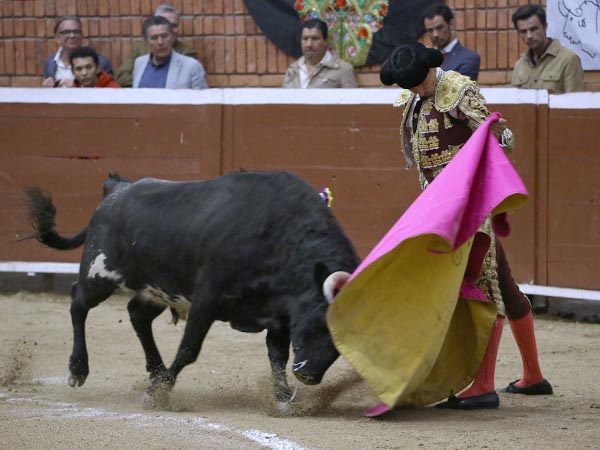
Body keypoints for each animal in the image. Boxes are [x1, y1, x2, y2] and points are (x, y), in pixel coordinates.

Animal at [23, 171, 358, 408]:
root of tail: (117, 188)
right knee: (78, 302)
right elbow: (189, 350)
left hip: (155, 288)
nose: (309, 376)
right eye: (321, 325)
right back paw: (78, 370)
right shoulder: (207, 299)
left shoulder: (279, 314)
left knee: (137, 315)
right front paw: (156, 396)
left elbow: (277, 355)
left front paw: (283, 398)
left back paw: (156, 371)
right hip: (99, 273)